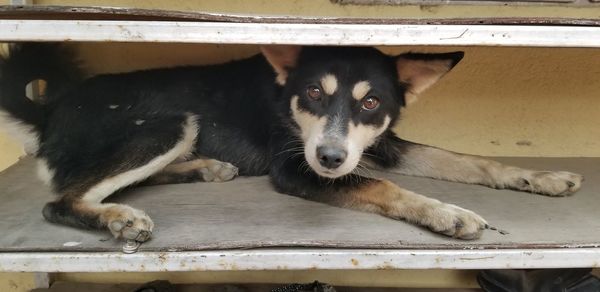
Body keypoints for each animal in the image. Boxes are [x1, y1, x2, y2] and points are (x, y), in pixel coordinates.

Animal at [0, 42, 580, 240]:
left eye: (372, 103)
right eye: (313, 94)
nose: (331, 158)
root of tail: (52, 107)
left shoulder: (379, 144)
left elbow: (469, 159)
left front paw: (540, 176)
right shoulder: (297, 168)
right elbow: (383, 188)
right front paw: (445, 213)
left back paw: (203, 168)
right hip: (170, 123)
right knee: (62, 199)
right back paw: (116, 217)